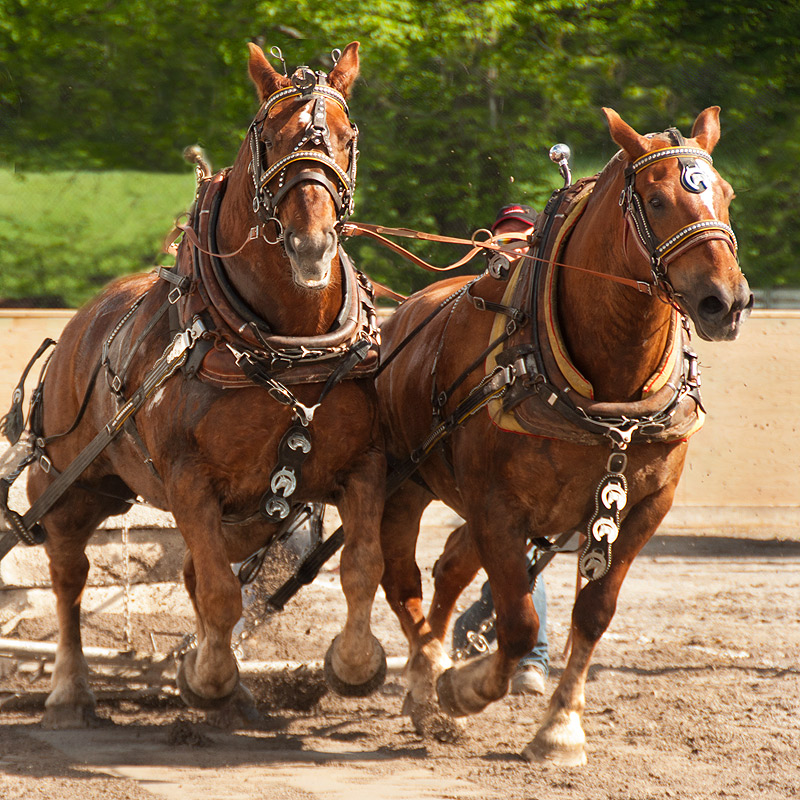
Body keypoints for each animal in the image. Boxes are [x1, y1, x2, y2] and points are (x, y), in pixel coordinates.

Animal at [12, 45, 388, 732]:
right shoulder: (189, 479)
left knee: (192, 568)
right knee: (69, 574)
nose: (312, 245)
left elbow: (360, 568)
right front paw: (208, 678)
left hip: (245, 512)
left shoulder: (363, 465)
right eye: (269, 138)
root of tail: (86, 317)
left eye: (347, 139)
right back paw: (71, 692)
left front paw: (353, 665)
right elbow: (218, 593)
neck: (284, 348)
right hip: (73, 485)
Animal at [378, 106, 752, 764]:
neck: (609, 392)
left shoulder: (640, 507)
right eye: (657, 200)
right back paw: (422, 684)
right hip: (405, 487)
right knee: (404, 584)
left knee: (449, 570)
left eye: (726, 195)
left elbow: (593, 613)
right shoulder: (499, 509)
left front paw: (560, 726)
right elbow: (518, 622)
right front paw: (465, 690)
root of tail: (403, 313)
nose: (725, 302)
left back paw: (431, 670)